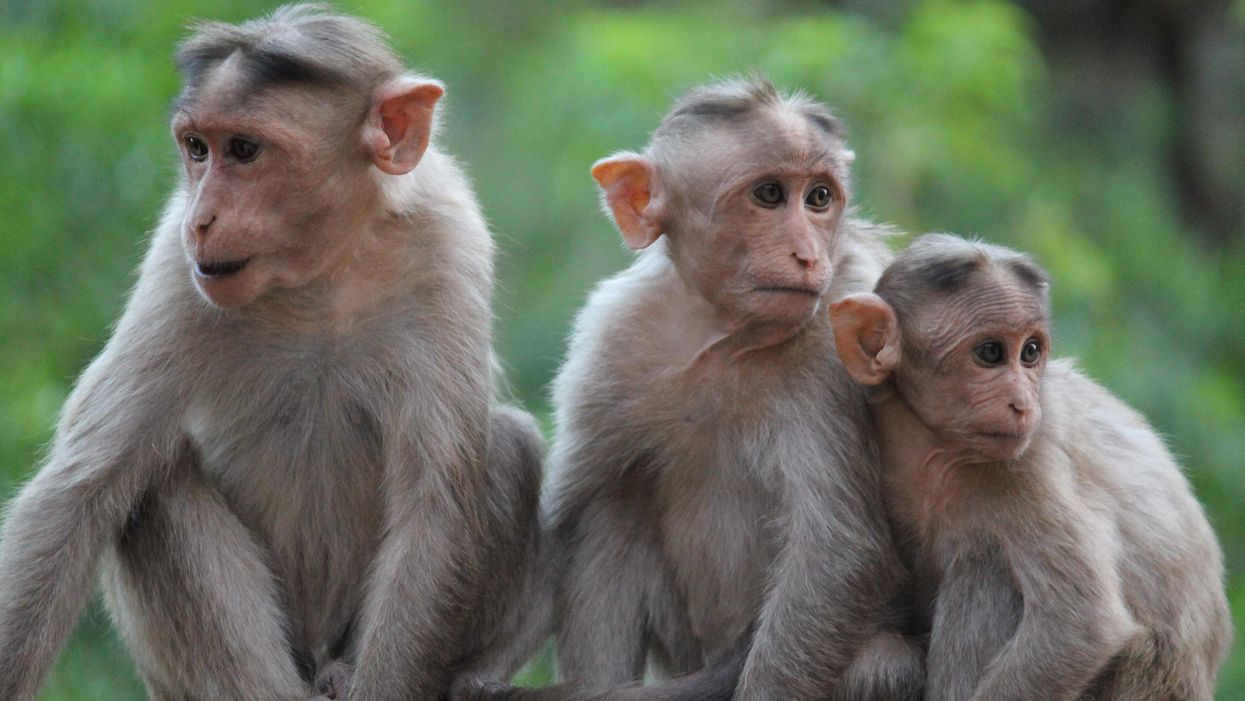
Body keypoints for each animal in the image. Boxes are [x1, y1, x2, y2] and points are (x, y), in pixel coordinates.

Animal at [0, 6, 544, 701]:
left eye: (245, 150)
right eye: (197, 148)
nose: (201, 219)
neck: (320, 276)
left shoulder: (448, 241)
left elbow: (436, 502)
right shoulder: (175, 268)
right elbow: (77, 490)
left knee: (510, 444)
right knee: (153, 482)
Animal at [454, 78, 924, 701]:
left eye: (819, 198)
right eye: (769, 195)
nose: (807, 254)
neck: (727, 338)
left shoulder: (844, 328)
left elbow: (836, 552)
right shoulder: (611, 337)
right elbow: (572, 513)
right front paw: (478, 671)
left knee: (879, 662)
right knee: (614, 504)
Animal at [829, 233, 1233, 701]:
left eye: (1031, 352)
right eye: (990, 353)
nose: (1023, 403)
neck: (939, 453)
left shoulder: (1032, 461)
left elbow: (1082, 625)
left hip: (1141, 680)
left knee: (986, 563)